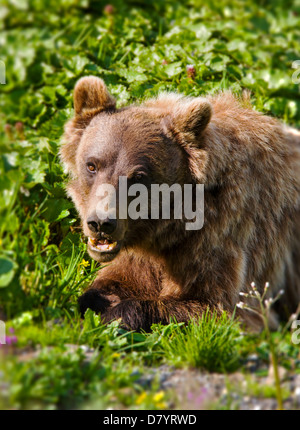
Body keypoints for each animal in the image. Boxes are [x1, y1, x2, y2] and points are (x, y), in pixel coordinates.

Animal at [60, 76, 300, 332]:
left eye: (139, 176)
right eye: (92, 165)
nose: (102, 223)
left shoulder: (221, 237)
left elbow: (215, 307)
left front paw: (118, 314)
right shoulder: (139, 250)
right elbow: (115, 280)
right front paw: (96, 301)